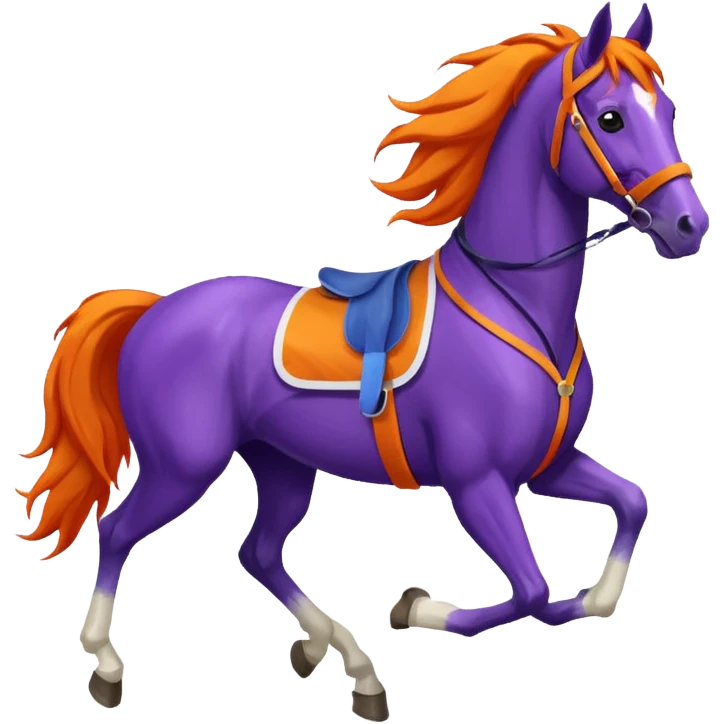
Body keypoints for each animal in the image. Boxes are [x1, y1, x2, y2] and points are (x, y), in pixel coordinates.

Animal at [15, 2, 709, 721]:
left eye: (668, 110)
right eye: (611, 118)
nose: (689, 226)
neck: (513, 304)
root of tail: (153, 310)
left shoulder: (547, 466)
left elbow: (628, 514)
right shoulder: (477, 481)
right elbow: (534, 592)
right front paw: (415, 606)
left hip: (283, 465)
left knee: (257, 552)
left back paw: (345, 662)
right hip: (183, 466)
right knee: (118, 530)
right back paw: (107, 666)